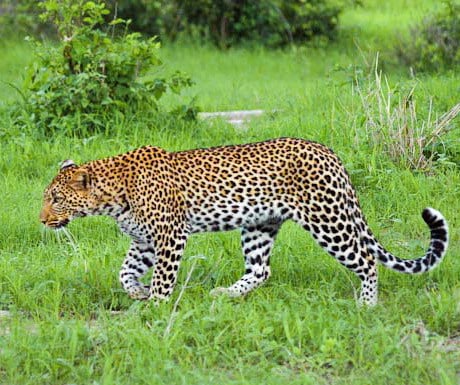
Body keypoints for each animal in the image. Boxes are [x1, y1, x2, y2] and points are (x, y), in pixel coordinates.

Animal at [40, 136, 450, 304]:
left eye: (56, 199)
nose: (42, 221)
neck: (111, 197)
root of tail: (330, 153)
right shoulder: (144, 241)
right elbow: (124, 272)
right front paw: (137, 293)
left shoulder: (170, 236)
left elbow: (162, 278)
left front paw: (155, 306)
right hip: (258, 225)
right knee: (260, 270)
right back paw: (226, 294)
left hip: (327, 220)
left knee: (365, 259)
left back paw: (367, 304)